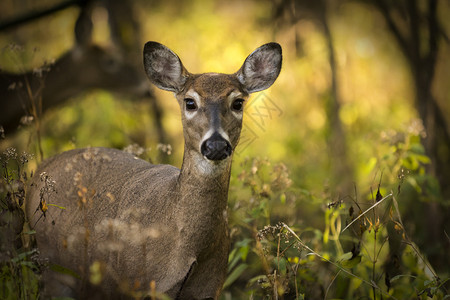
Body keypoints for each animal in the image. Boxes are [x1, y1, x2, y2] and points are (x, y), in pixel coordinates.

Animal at [26, 41, 282, 298]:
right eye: (190, 102)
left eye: (238, 102)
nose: (216, 145)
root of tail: (42, 168)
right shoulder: (137, 285)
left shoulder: (210, 288)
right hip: (53, 267)